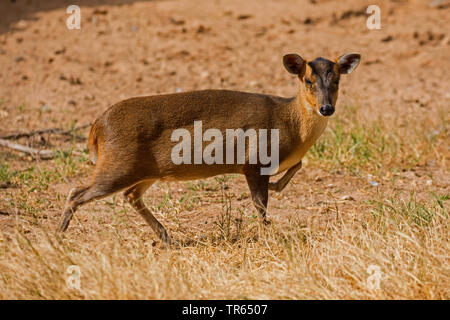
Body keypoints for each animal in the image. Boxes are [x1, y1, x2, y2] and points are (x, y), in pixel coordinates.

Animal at [59, 52, 362, 244]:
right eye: (308, 81)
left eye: (337, 80)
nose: (326, 108)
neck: (290, 124)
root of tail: (97, 126)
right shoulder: (253, 160)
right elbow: (261, 205)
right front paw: (270, 237)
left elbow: (296, 167)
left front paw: (277, 188)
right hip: (118, 164)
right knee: (76, 192)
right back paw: (58, 237)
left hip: (144, 170)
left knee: (130, 195)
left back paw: (167, 237)